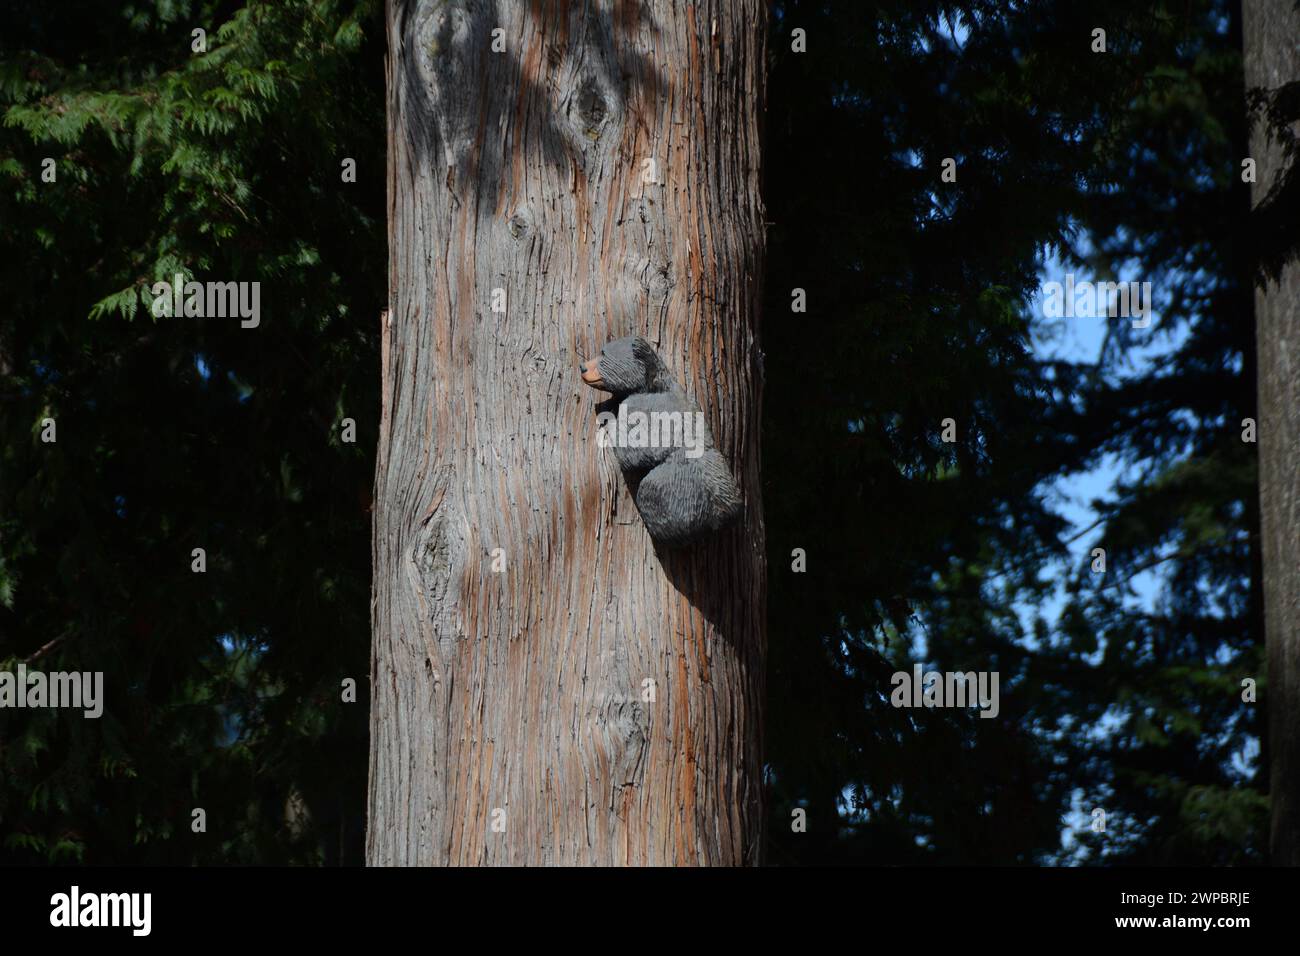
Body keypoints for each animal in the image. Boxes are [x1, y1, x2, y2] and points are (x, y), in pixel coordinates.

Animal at [579, 336, 743, 547]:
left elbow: (634, 452)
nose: (583, 367)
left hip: (674, 493)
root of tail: (720, 517)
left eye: (603, 353)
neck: (648, 384)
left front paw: (609, 415)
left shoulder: (643, 408)